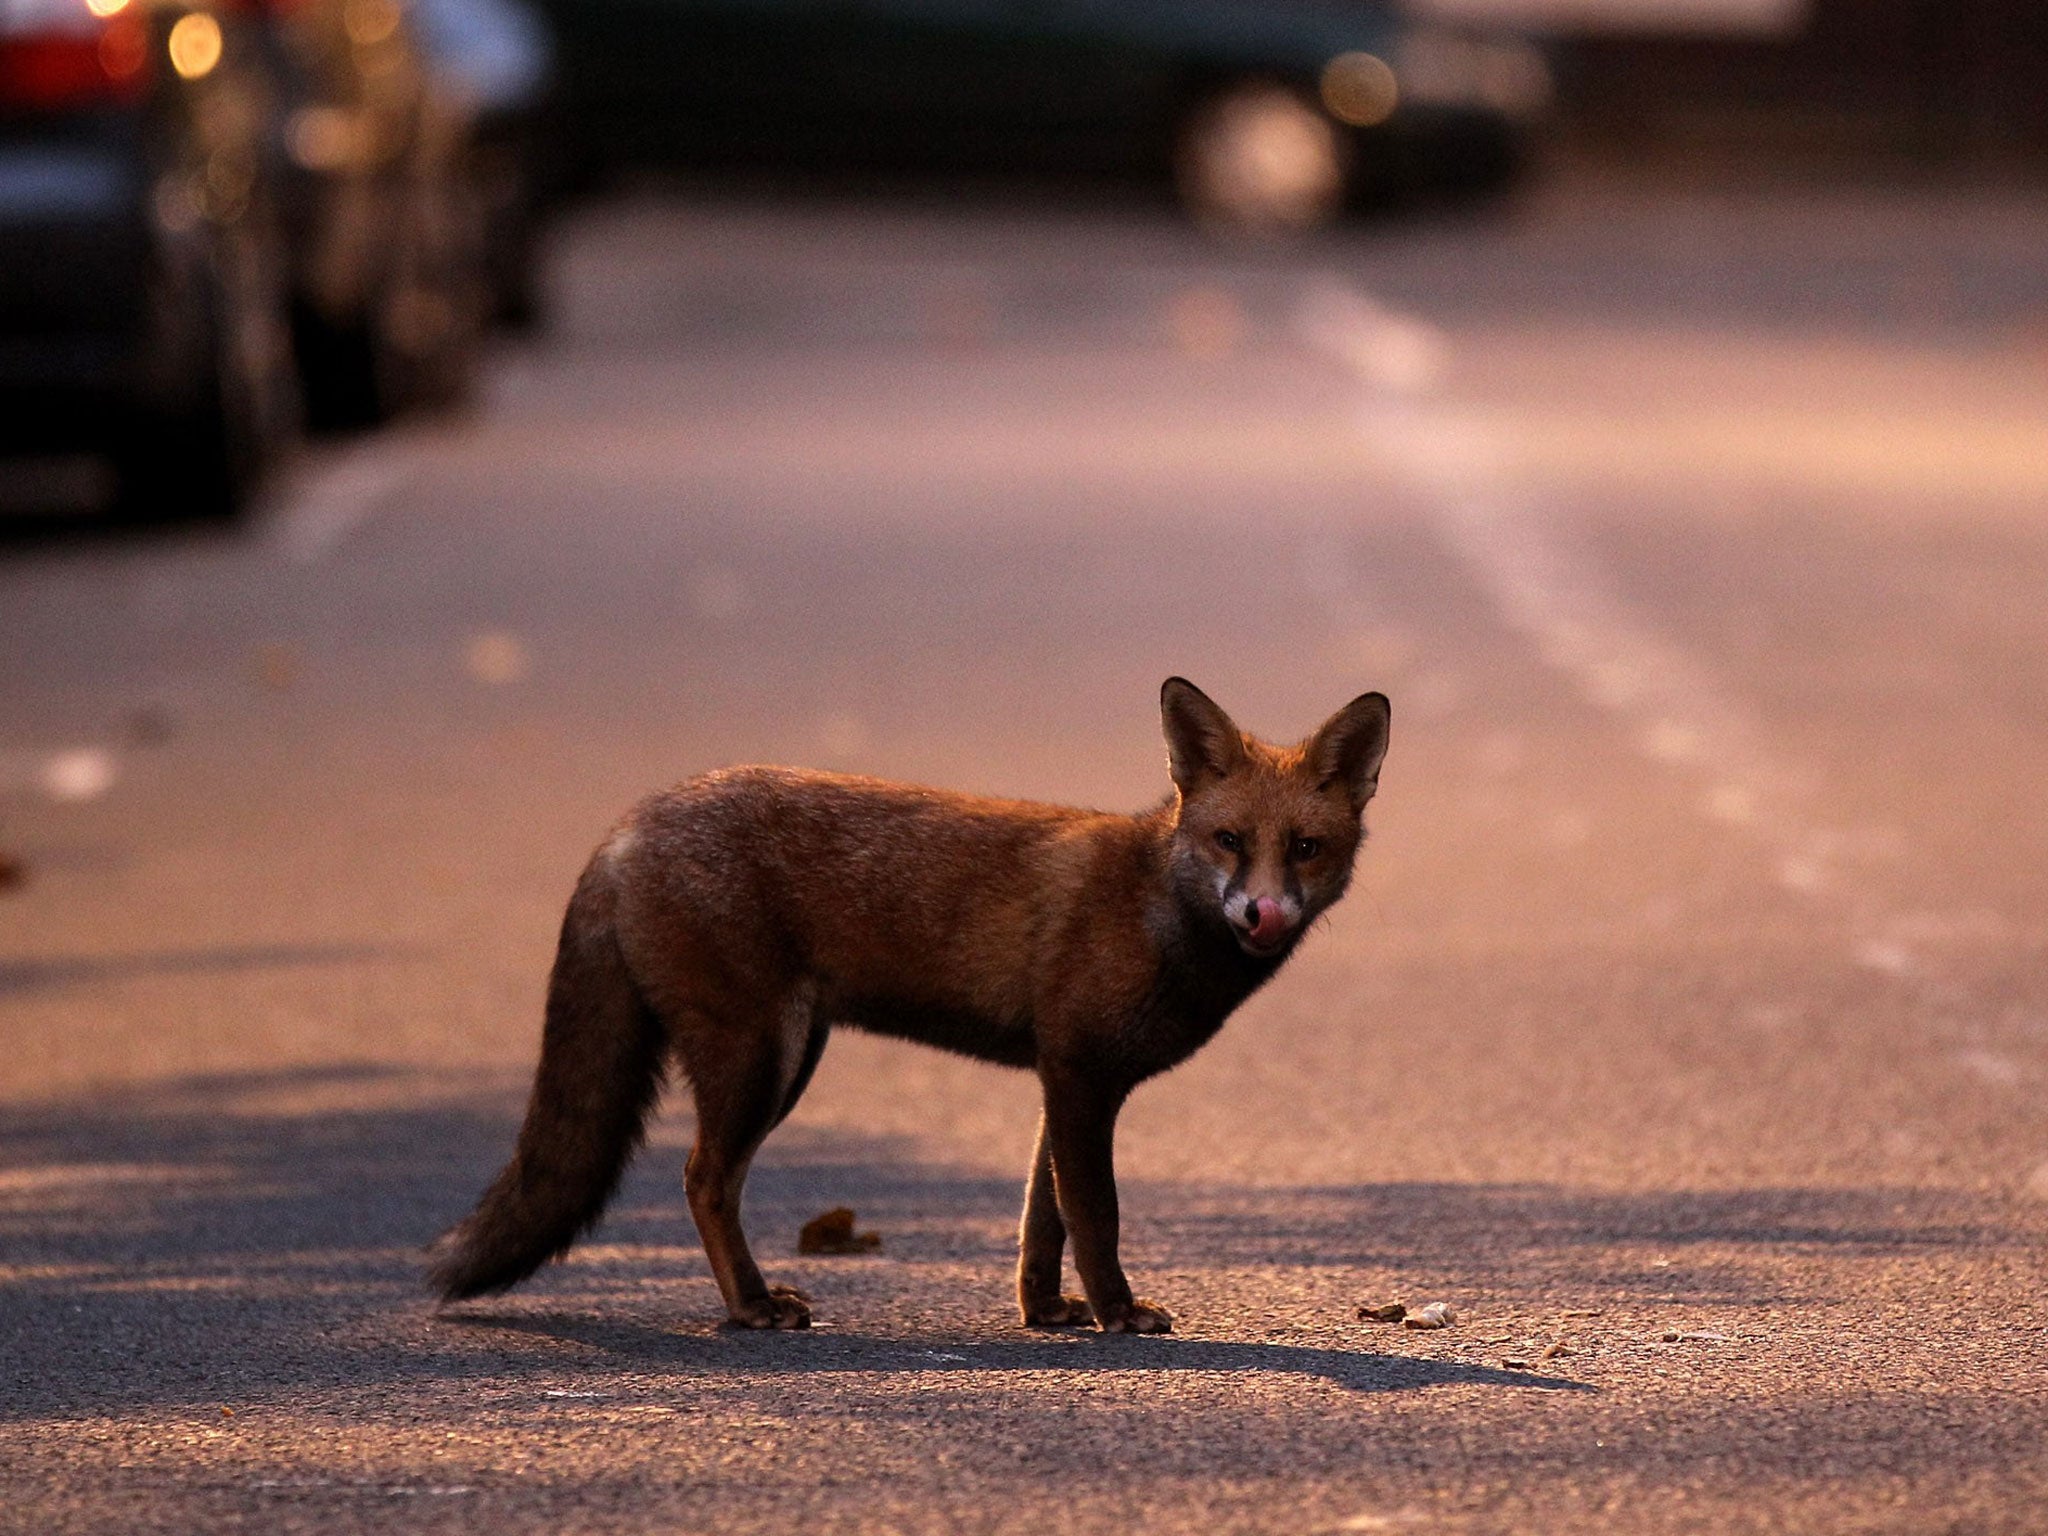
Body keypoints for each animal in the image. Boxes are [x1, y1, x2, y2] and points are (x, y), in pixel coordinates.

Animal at [432, 679, 1392, 1343]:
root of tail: (630, 824)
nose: (1262, 915)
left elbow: (1041, 1221)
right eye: (1229, 841)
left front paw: (1048, 1312)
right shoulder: (1081, 1073)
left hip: (790, 1053)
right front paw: (1116, 1314)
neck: (1157, 909)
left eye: (1306, 849)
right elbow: (1096, 1214)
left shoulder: (1064, 1079)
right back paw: (751, 1306)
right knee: (704, 1178)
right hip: (763, 1059)